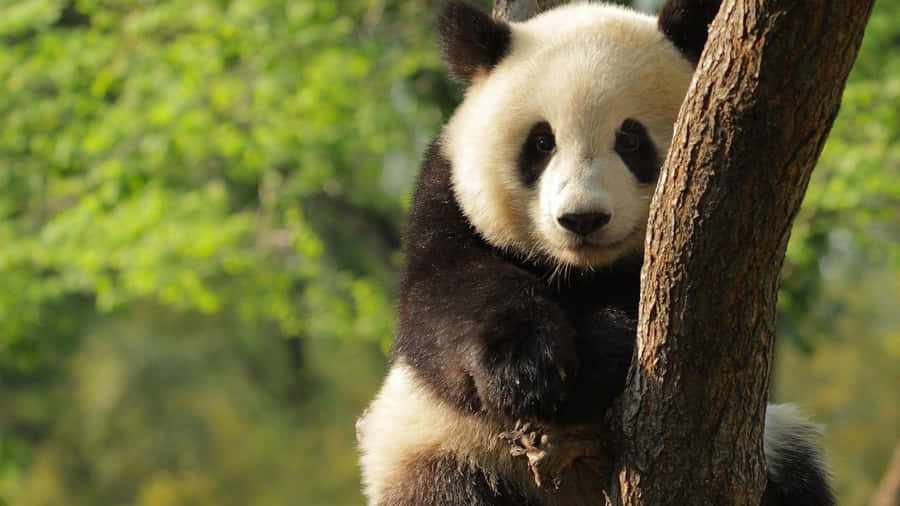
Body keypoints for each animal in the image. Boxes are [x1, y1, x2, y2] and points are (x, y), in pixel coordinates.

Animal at [357, 1, 835, 505]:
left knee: (798, 479)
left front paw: (595, 355)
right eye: (541, 142)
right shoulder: (446, 198)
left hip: (775, 445)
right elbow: (442, 302)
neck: (580, 272)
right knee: (447, 488)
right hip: (439, 449)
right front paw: (527, 369)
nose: (582, 219)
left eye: (630, 139)